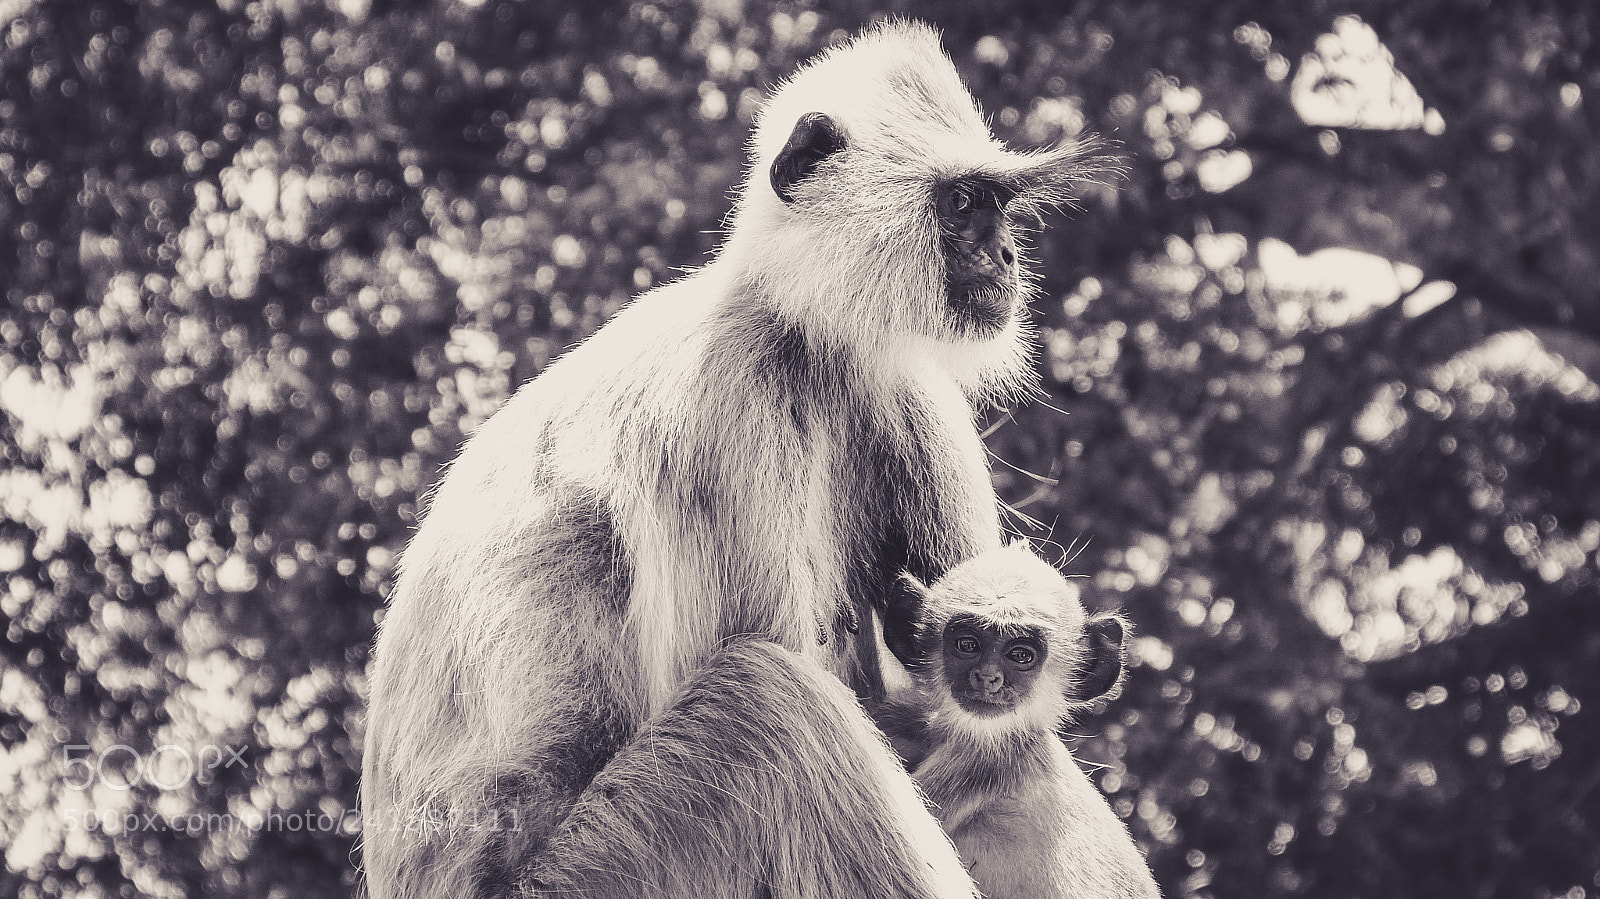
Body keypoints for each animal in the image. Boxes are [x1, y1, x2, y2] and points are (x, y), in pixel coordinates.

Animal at [360, 21, 1132, 899]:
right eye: (964, 202)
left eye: (1000, 206)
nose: (1004, 256)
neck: (795, 328)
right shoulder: (721, 404)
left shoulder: (902, 386)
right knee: (763, 693)